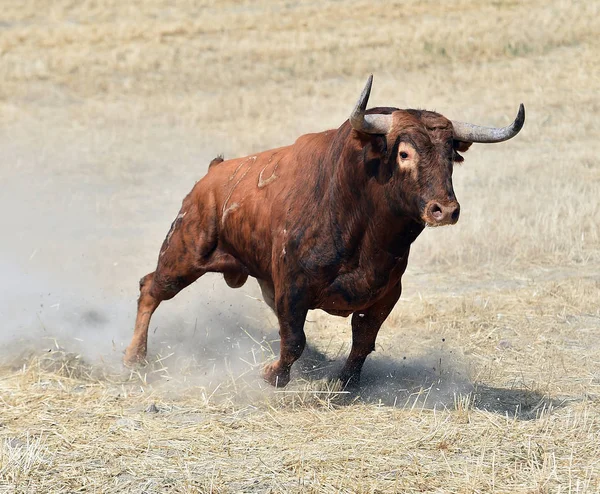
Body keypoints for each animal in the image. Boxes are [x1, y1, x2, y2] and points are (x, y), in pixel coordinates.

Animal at [124, 75, 524, 388]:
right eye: (404, 153)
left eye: (450, 155)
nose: (445, 210)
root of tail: (213, 174)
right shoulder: (292, 286)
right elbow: (293, 339)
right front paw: (273, 374)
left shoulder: (385, 294)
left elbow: (362, 340)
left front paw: (344, 380)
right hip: (183, 253)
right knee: (151, 288)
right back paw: (134, 357)